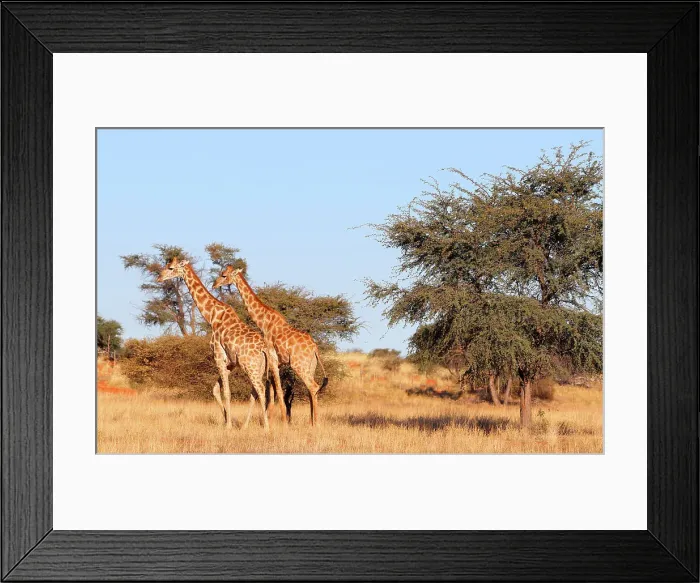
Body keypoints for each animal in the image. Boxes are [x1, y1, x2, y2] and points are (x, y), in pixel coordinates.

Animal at [157, 257, 285, 430]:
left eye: (170, 268)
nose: (159, 277)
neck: (212, 316)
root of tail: (264, 349)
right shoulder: (230, 362)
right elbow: (215, 390)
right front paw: (225, 419)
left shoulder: (218, 355)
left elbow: (226, 392)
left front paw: (228, 425)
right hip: (259, 367)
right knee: (256, 391)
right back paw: (247, 426)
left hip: (250, 366)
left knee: (261, 389)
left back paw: (265, 427)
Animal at [213, 266, 328, 426]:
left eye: (224, 275)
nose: (214, 284)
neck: (264, 322)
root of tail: (315, 349)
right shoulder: (275, 362)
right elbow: (272, 390)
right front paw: (271, 421)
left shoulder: (272, 359)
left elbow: (277, 390)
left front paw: (282, 423)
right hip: (310, 366)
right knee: (311, 388)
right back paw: (311, 422)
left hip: (299, 365)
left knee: (313, 386)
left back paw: (315, 424)